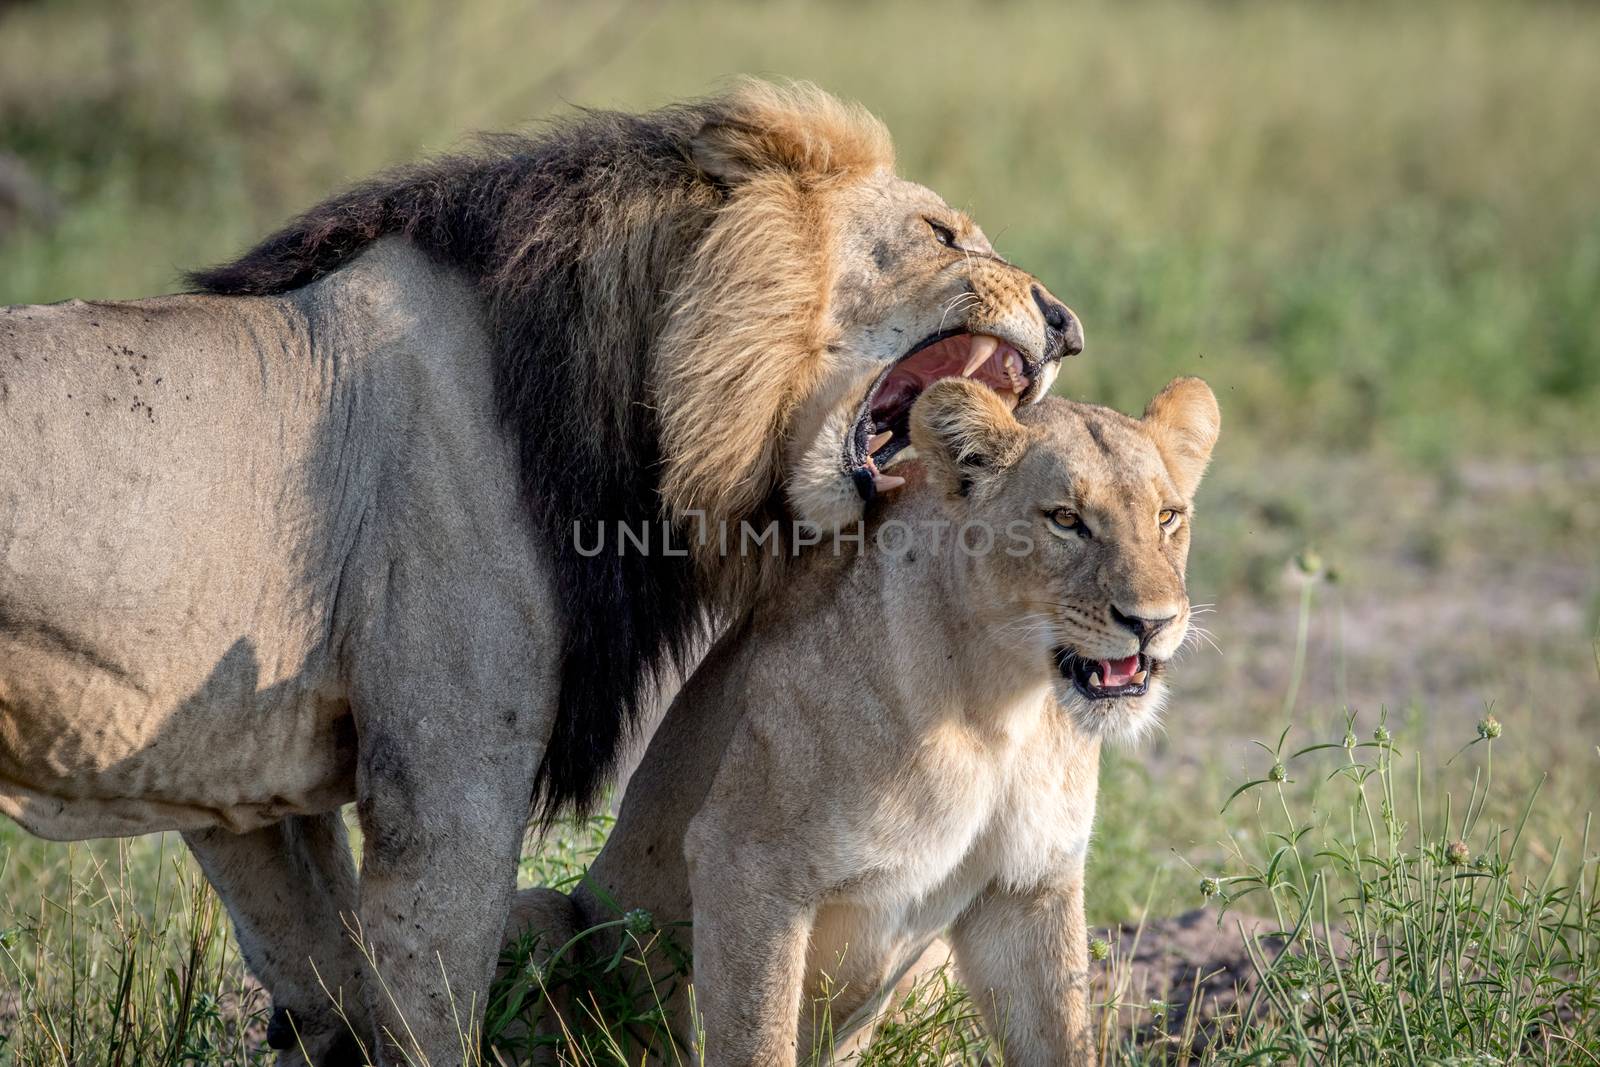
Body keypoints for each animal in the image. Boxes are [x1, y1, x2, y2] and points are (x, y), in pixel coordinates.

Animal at [0, 85, 1081, 1067]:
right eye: (941, 232)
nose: (1067, 324)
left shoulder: (242, 783)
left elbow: (323, 981)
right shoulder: (448, 774)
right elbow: (427, 1012)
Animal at [505, 375, 1216, 1067]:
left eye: (1167, 516)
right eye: (1066, 520)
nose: (1152, 623)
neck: (1004, 710)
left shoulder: (1028, 887)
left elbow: (1061, 1036)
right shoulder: (745, 860)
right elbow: (757, 1038)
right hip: (536, 913)